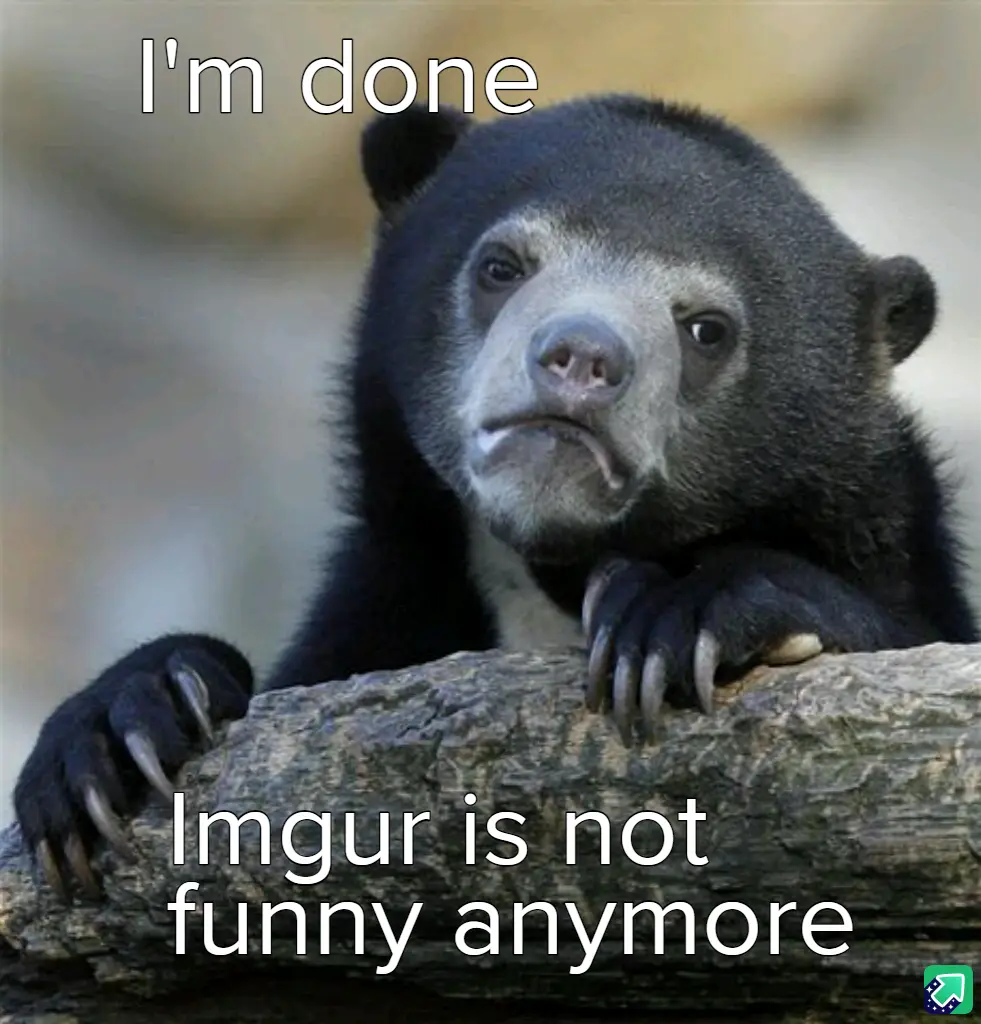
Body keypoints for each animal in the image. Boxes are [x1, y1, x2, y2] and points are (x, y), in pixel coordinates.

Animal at [12, 94, 978, 899]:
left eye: (706, 329)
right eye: (501, 265)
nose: (581, 359)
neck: (547, 571)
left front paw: (672, 614)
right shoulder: (395, 592)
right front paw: (117, 733)